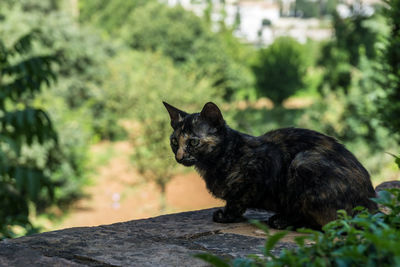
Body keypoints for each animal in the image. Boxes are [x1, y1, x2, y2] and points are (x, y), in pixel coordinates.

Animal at [162, 101, 378, 229]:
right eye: (174, 141)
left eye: (193, 142)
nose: (179, 156)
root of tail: (372, 204)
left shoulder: (261, 170)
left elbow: (238, 200)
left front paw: (227, 215)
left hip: (303, 161)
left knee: (330, 222)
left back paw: (281, 220)